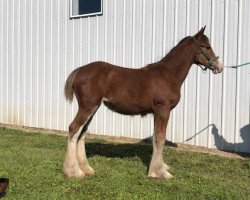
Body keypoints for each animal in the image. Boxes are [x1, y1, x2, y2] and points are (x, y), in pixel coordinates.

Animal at [63, 27, 224, 180]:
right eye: (207, 46)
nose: (219, 66)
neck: (168, 74)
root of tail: (79, 71)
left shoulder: (157, 113)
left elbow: (156, 138)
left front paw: (157, 168)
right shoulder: (163, 110)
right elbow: (160, 139)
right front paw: (160, 172)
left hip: (93, 108)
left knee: (82, 133)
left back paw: (86, 169)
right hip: (87, 107)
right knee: (73, 128)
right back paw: (74, 171)